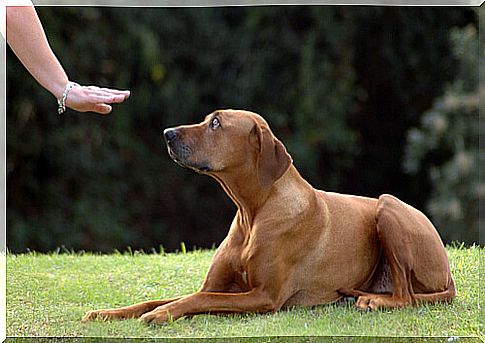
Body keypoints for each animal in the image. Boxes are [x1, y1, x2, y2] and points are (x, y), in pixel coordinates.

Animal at [81, 110, 456, 326]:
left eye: (215, 123)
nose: (167, 133)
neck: (253, 212)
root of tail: (449, 275)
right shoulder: (218, 284)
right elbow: (162, 297)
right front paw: (107, 313)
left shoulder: (265, 296)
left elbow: (200, 299)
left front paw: (161, 315)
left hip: (387, 206)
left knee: (406, 297)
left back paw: (373, 300)